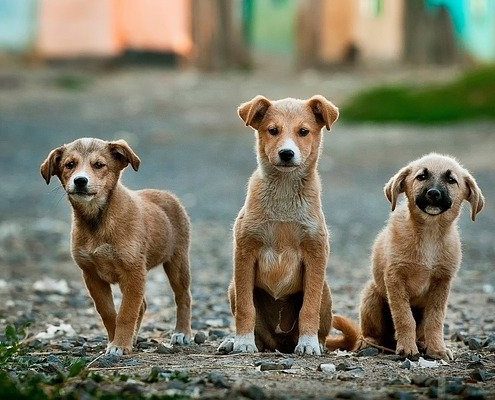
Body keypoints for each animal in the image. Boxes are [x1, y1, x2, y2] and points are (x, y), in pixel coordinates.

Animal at [40, 139, 193, 354]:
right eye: (70, 165)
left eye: (99, 165)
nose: (80, 181)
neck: (98, 220)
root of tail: (166, 194)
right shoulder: (92, 275)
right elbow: (109, 312)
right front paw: (116, 340)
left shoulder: (133, 272)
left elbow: (127, 312)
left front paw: (120, 345)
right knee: (142, 305)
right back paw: (135, 337)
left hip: (177, 261)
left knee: (183, 297)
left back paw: (182, 332)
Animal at [219, 95, 340, 354]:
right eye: (273, 130)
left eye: (303, 132)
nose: (286, 153)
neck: (284, 193)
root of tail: (280, 343)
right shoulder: (245, 252)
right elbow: (246, 308)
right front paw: (243, 342)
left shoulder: (316, 254)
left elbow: (309, 308)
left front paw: (308, 343)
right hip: (233, 287)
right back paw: (238, 341)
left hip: (326, 291)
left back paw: (316, 342)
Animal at [328, 152, 486, 360]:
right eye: (421, 176)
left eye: (451, 180)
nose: (433, 193)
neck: (429, 234)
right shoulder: (395, 278)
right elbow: (404, 317)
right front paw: (407, 348)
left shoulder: (442, 282)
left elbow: (435, 320)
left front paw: (437, 349)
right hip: (372, 294)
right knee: (369, 333)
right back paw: (370, 343)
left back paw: (422, 343)